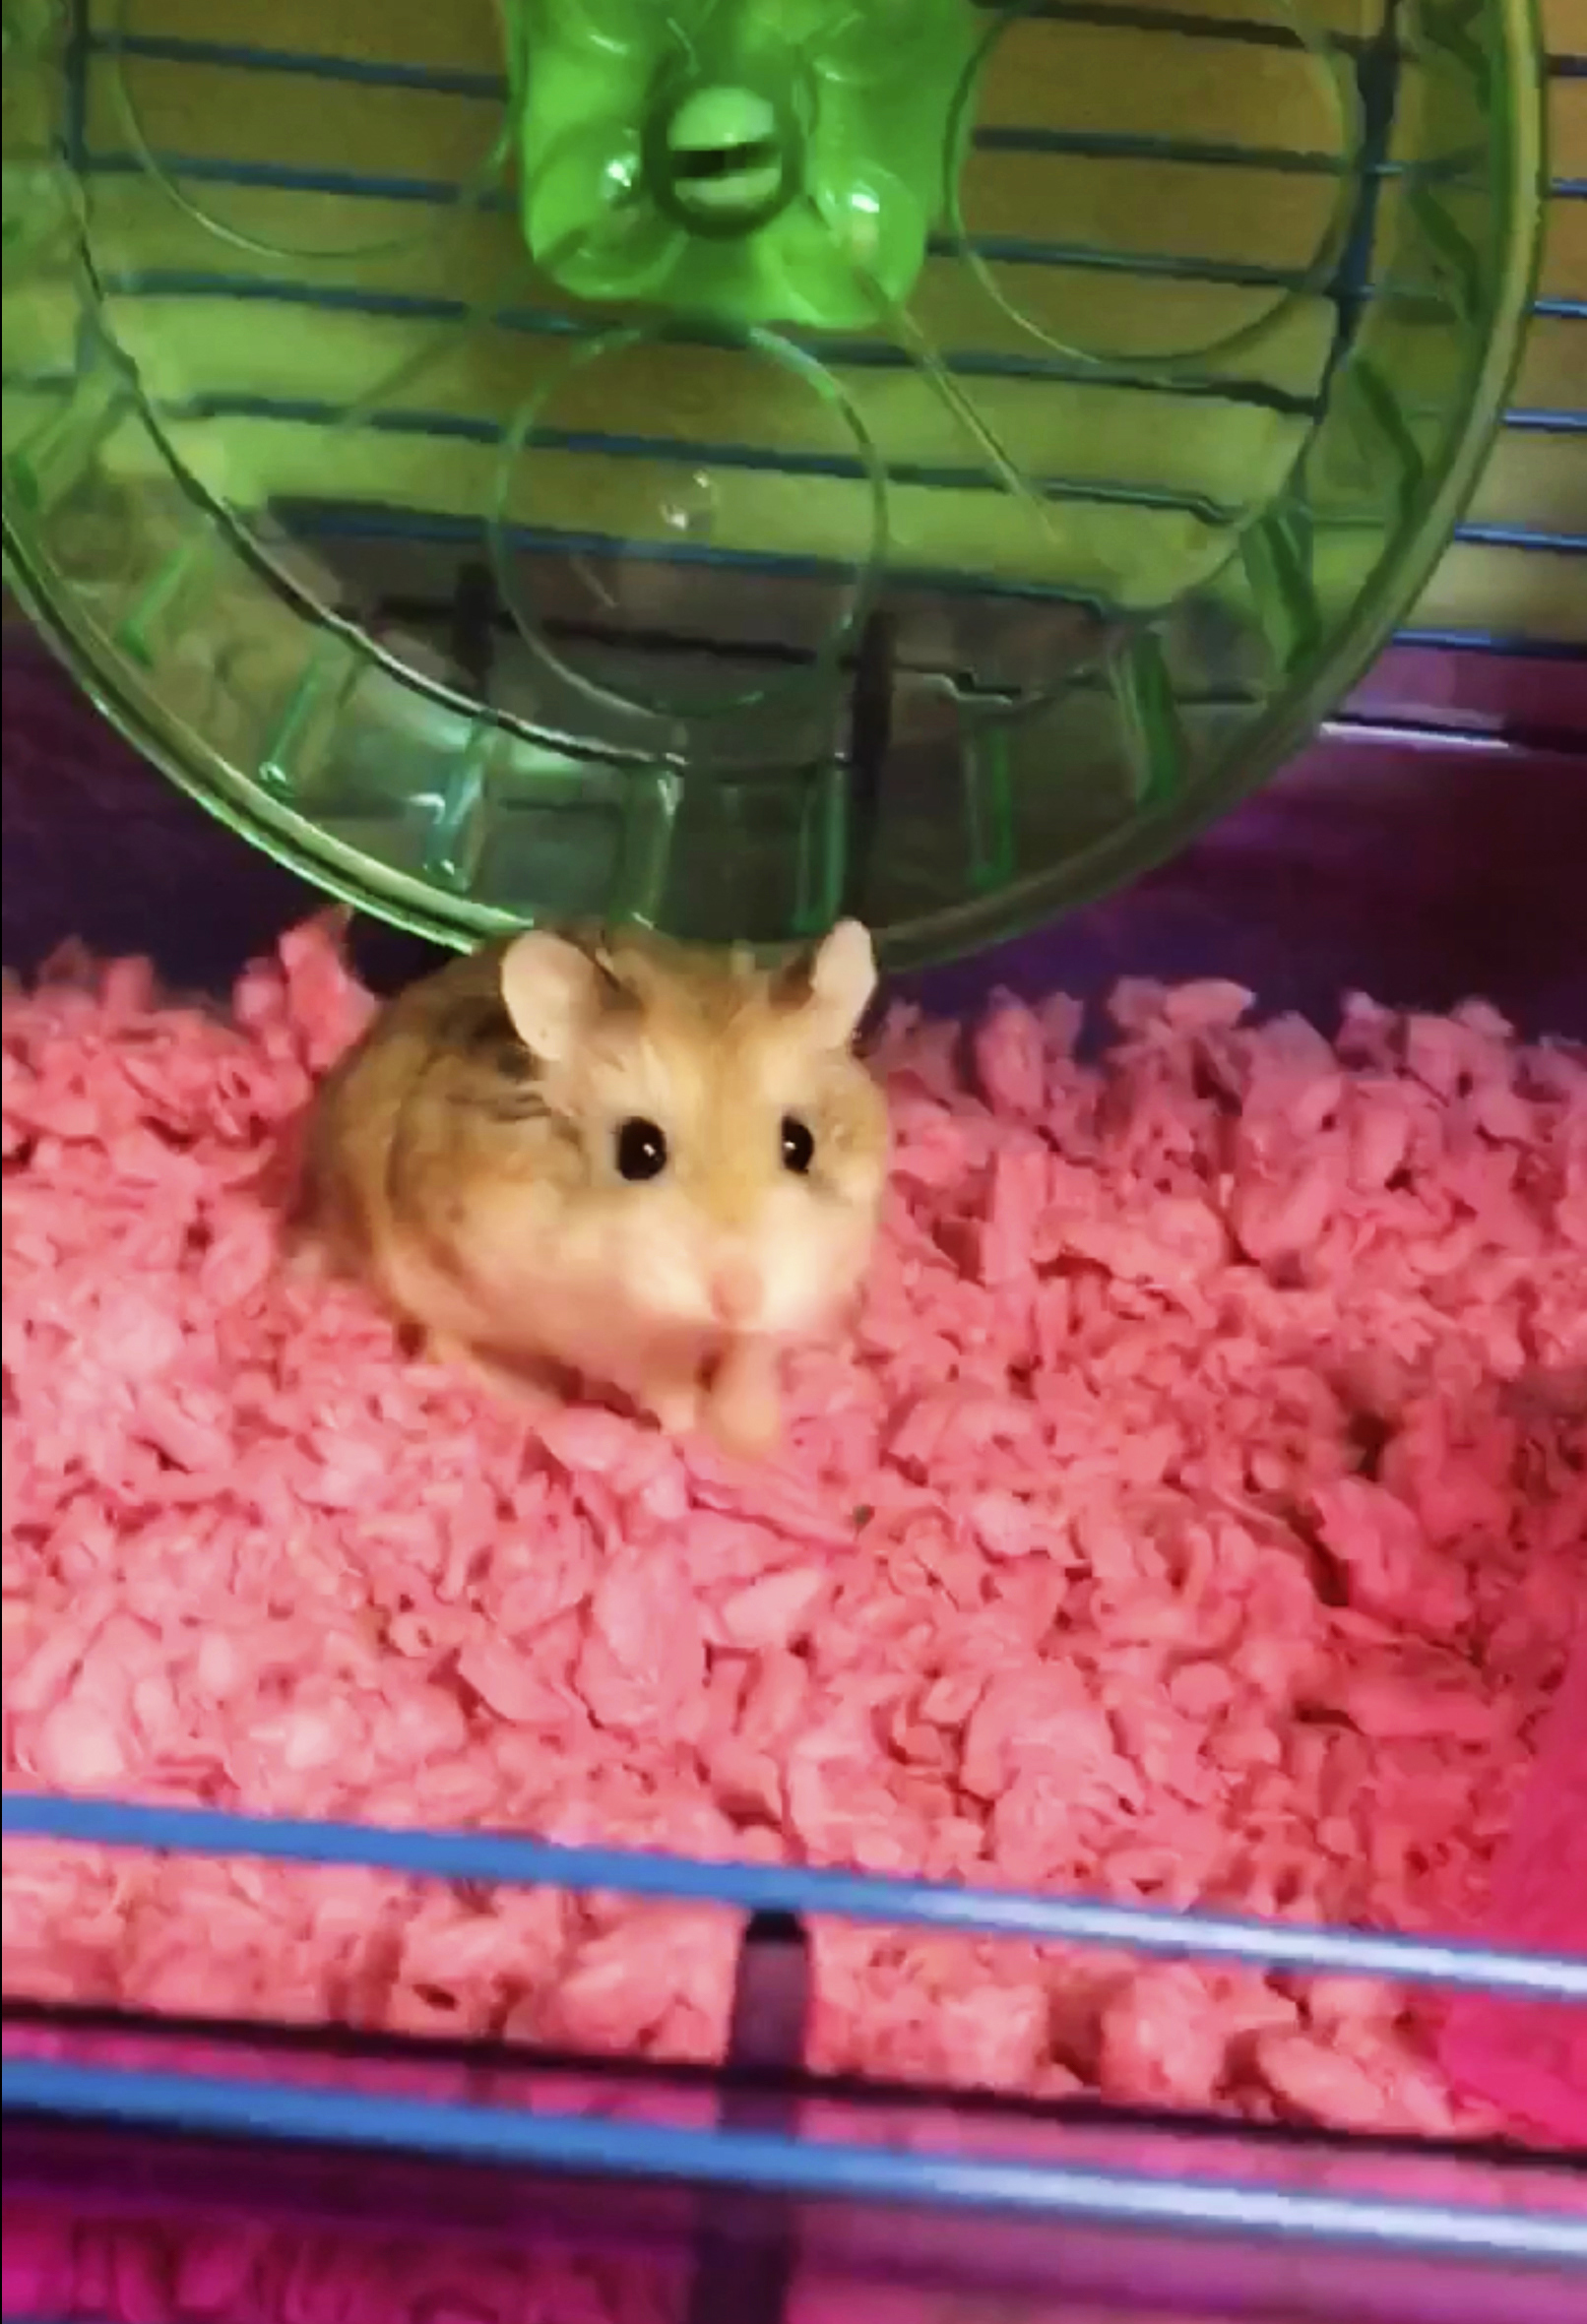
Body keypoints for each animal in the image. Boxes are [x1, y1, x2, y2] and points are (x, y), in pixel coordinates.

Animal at [294, 918, 889, 1457]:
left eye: (800, 1144)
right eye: (638, 1151)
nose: (738, 1298)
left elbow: (751, 1361)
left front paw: (755, 1442)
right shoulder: (586, 1324)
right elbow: (662, 1380)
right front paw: (694, 1430)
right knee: (444, 1343)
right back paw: (529, 1398)